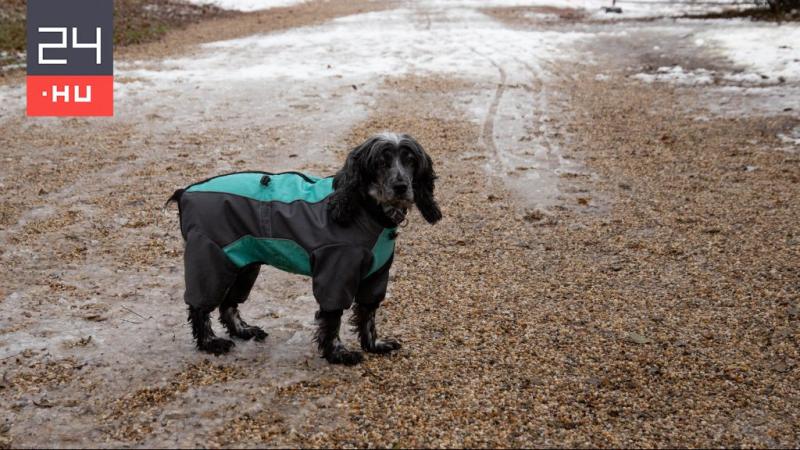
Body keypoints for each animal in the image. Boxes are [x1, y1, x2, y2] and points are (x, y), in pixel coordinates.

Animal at [170, 132, 444, 364]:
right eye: (380, 162)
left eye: (410, 160)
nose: (401, 186)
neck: (366, 211)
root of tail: (186, 192)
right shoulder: (336, 272)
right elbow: (332, 317)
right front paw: (338, 353)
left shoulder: (376, 274)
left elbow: (368, 314)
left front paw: (375, 345)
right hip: (212, 257)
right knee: (200, 305)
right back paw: (210, 342)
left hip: (244, 263)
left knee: (228, 303)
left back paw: (244, 331)